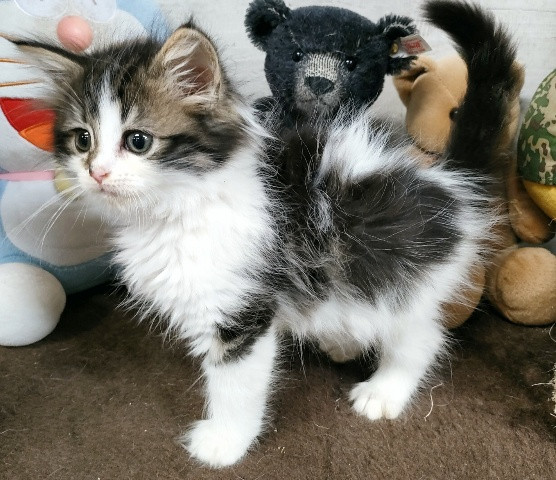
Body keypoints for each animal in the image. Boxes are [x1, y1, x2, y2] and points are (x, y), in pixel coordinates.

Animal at [8, 0, 519, 468]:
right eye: (83, 140)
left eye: (138, 141)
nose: (96, 174)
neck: (178, 209)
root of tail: (448, 179)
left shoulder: (240, 309)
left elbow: (235, 384)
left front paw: (224, 442)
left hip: (399, 273)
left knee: (422, 335)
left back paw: (385, 390)